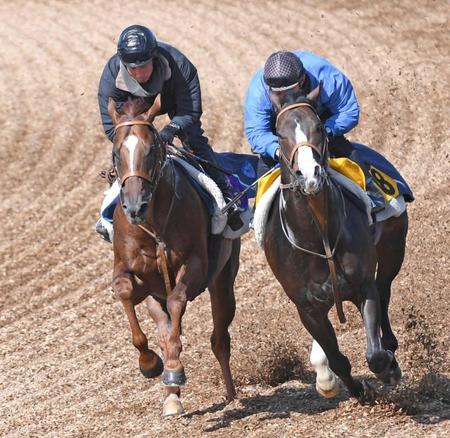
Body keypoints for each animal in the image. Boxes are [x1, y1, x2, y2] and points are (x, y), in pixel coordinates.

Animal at [106, 97, 239, 416]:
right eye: (117, 152)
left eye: (151, 149)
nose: (134, 206)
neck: (153, 224)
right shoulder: (133, 275)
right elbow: (125, 290)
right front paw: (149, 363)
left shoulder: (196, 266)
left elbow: (178, 300)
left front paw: (175, 368)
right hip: (156, 298)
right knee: (166, 332)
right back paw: (171, 396)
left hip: (223, 281)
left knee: (220, 339)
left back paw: (230, 395)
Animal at [264, 86, 408, 404]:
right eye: (279, 134)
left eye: (318, 126)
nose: (310, 175)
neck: (318, 237)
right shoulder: (307, 308)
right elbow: (338, 359)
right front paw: (356, 390)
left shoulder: (362, 286)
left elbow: (375, 353)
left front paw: (388, 368)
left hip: (393, 248)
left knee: (384, 290)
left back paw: (391, 347)